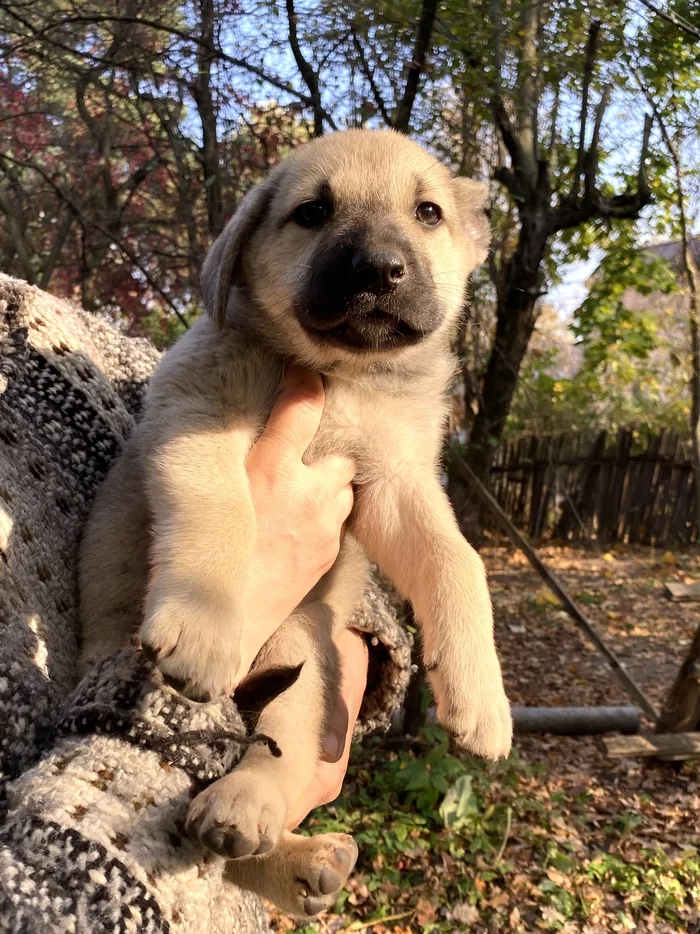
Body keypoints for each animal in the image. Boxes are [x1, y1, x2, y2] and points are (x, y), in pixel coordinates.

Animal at [79, 128, 512, 916]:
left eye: (427, 211)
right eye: (312, 212)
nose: (380, 269)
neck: (340, 377)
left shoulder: (393, 481)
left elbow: (458, 561)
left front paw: (481, 701)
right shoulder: (197, 422)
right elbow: (224, 516)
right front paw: (204, 628)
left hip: (305, 661)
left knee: (268, 769)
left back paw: (275, 837)